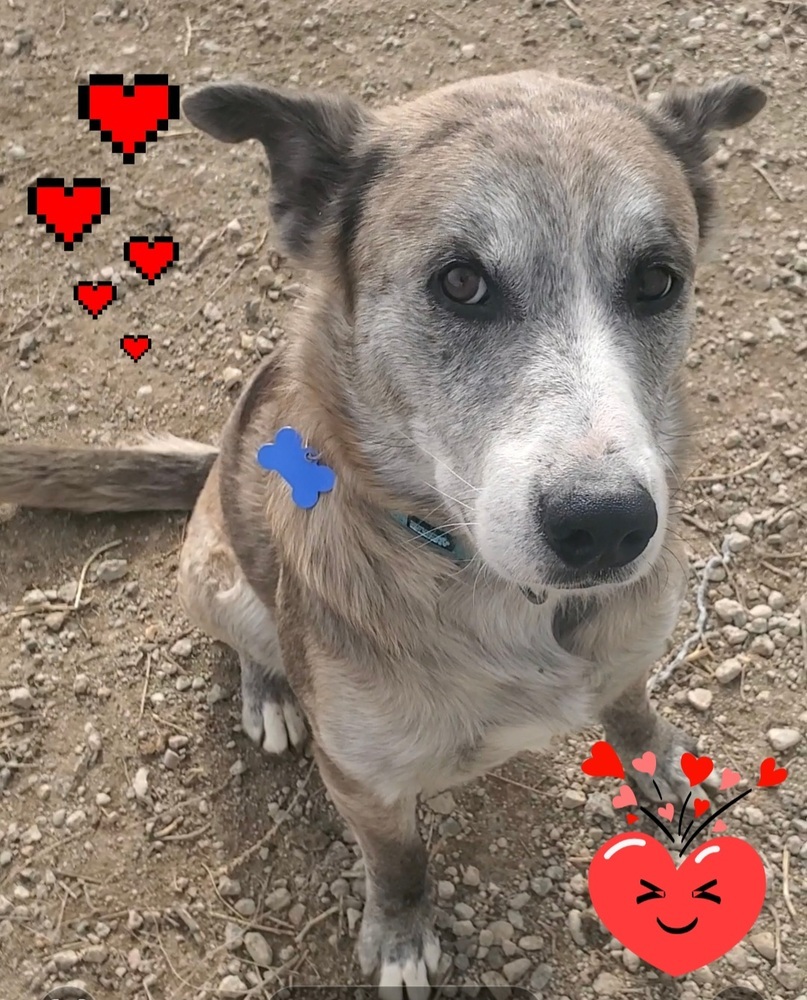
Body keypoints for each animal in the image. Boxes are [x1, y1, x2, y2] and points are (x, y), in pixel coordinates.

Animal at [0, 68, 768, 992]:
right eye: (460, 282)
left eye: (656, 280)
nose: (608, 526)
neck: (505, 597)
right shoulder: (363, 782)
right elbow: (399, 862)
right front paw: (401, 938)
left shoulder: (625, 653)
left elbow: (629, 706)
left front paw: (657, 761)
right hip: (214, 577)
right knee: (252, 639)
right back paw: (270, 692)